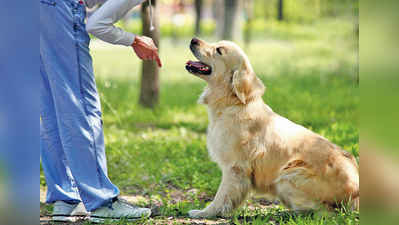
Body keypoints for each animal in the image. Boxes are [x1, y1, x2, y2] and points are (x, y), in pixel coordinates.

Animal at [186, 37, 360, 218]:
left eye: (219, 50)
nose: (193, 39)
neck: (233, 104)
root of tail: (355, 193)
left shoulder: (235, 167)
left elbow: (221, 196)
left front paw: (204, 212)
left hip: (287, 176)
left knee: (325, 212)